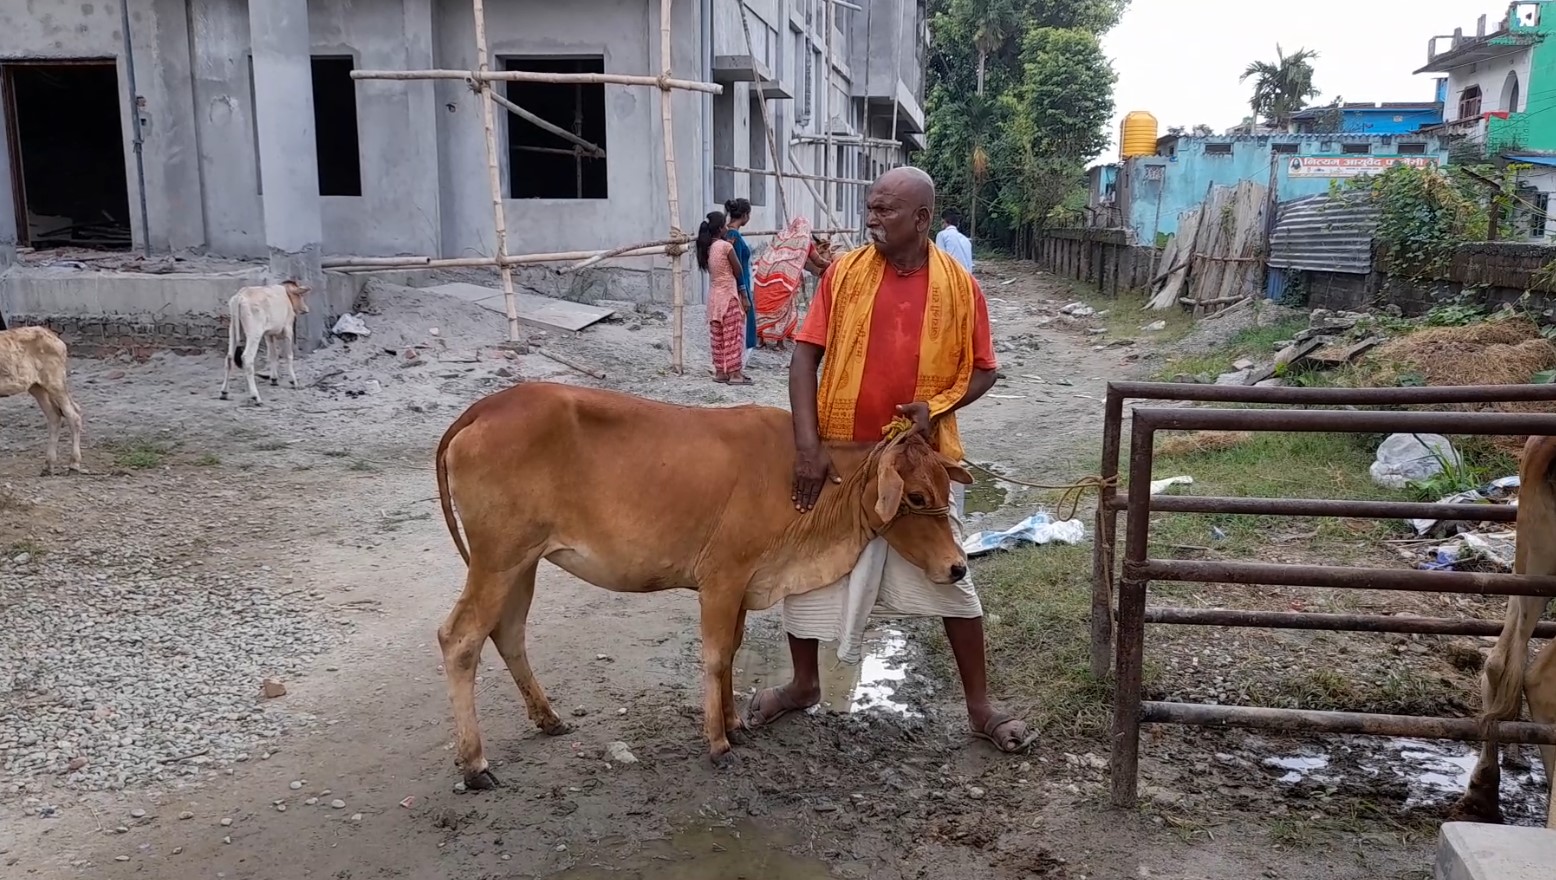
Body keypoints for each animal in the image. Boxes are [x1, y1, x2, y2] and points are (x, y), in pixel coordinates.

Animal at [0, 326, 84, 475]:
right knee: (55, 416)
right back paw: (48, 466)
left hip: (55, 381)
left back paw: (73, 464)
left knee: (73, 415)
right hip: (37, 386)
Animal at [435, 382, 970, 789]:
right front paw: (717, 742)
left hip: (521, 563)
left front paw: (735, 723)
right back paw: (475, 764)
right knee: (460, 639)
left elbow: (732, 652)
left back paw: (548, 718)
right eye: (915, 496)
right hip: (498, 559)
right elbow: (714, 658)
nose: (957, 567)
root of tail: (487, 405)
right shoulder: (722, 580)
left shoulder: (744, 586)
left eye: (945, 489)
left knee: (507, 633)